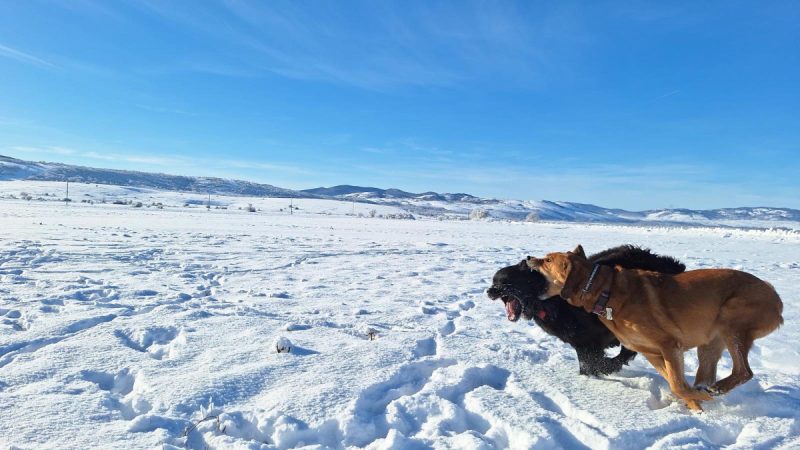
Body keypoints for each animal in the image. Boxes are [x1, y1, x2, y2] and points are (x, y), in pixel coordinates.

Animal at [484, 244, 684, 374]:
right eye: (493, 282)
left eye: (503, 282)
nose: (488, 291)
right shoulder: (582, 343)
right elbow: (588, 363)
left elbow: (598, 362)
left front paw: (604, 367)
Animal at [524, 246, 780, 412]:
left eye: (548, 260)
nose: (528, 257)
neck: (605, 292)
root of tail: (776, 297)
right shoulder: (651, 353)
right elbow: (677, 384)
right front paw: (695, 405)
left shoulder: (669, 345)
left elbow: (677, 384)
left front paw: (698, 400)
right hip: (710, 342)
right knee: (708, 373)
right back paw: (707, 389)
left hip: (731, 321)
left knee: (744, 372)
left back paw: (716, 389)